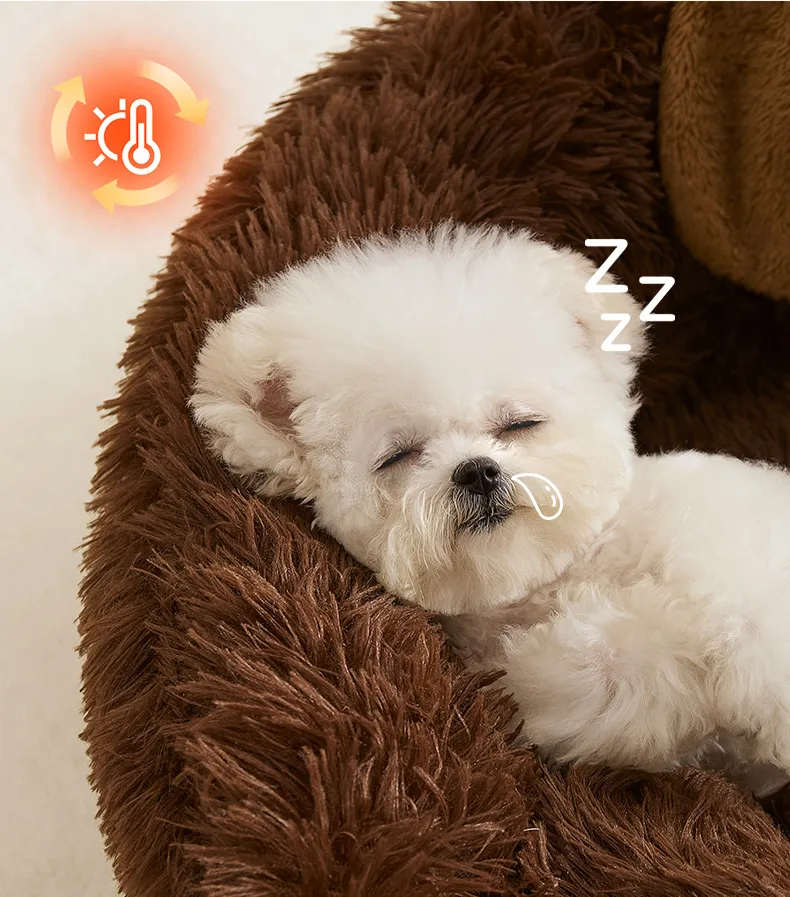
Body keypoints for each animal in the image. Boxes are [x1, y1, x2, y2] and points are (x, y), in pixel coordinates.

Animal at [190, 224, 790, 797]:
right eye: (398, 456)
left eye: (520, 423)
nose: (476, 471)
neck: (556, 580)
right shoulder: (574, 692)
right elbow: (613, 670)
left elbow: (739, 606)